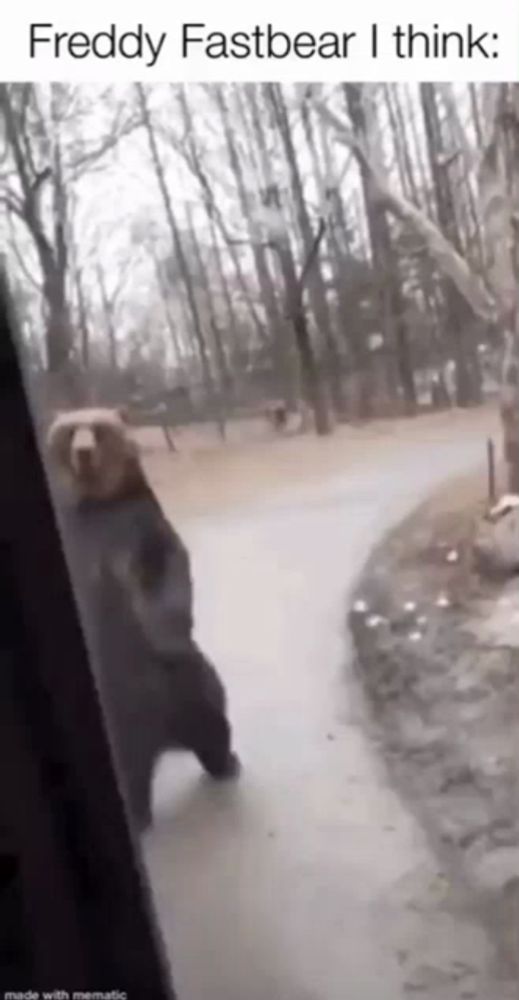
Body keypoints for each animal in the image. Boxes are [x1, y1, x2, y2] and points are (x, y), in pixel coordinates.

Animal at [45, 408, 241, 836]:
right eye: (69, 430)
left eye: (98, 429)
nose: (83, 452)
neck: (97, 503)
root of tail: (162, 739)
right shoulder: (81, 534)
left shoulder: (140, 526)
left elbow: (168, 567)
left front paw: (168, 629)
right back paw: (139, 813)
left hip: (186, 685)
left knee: (213, 713)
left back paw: (225, 763)